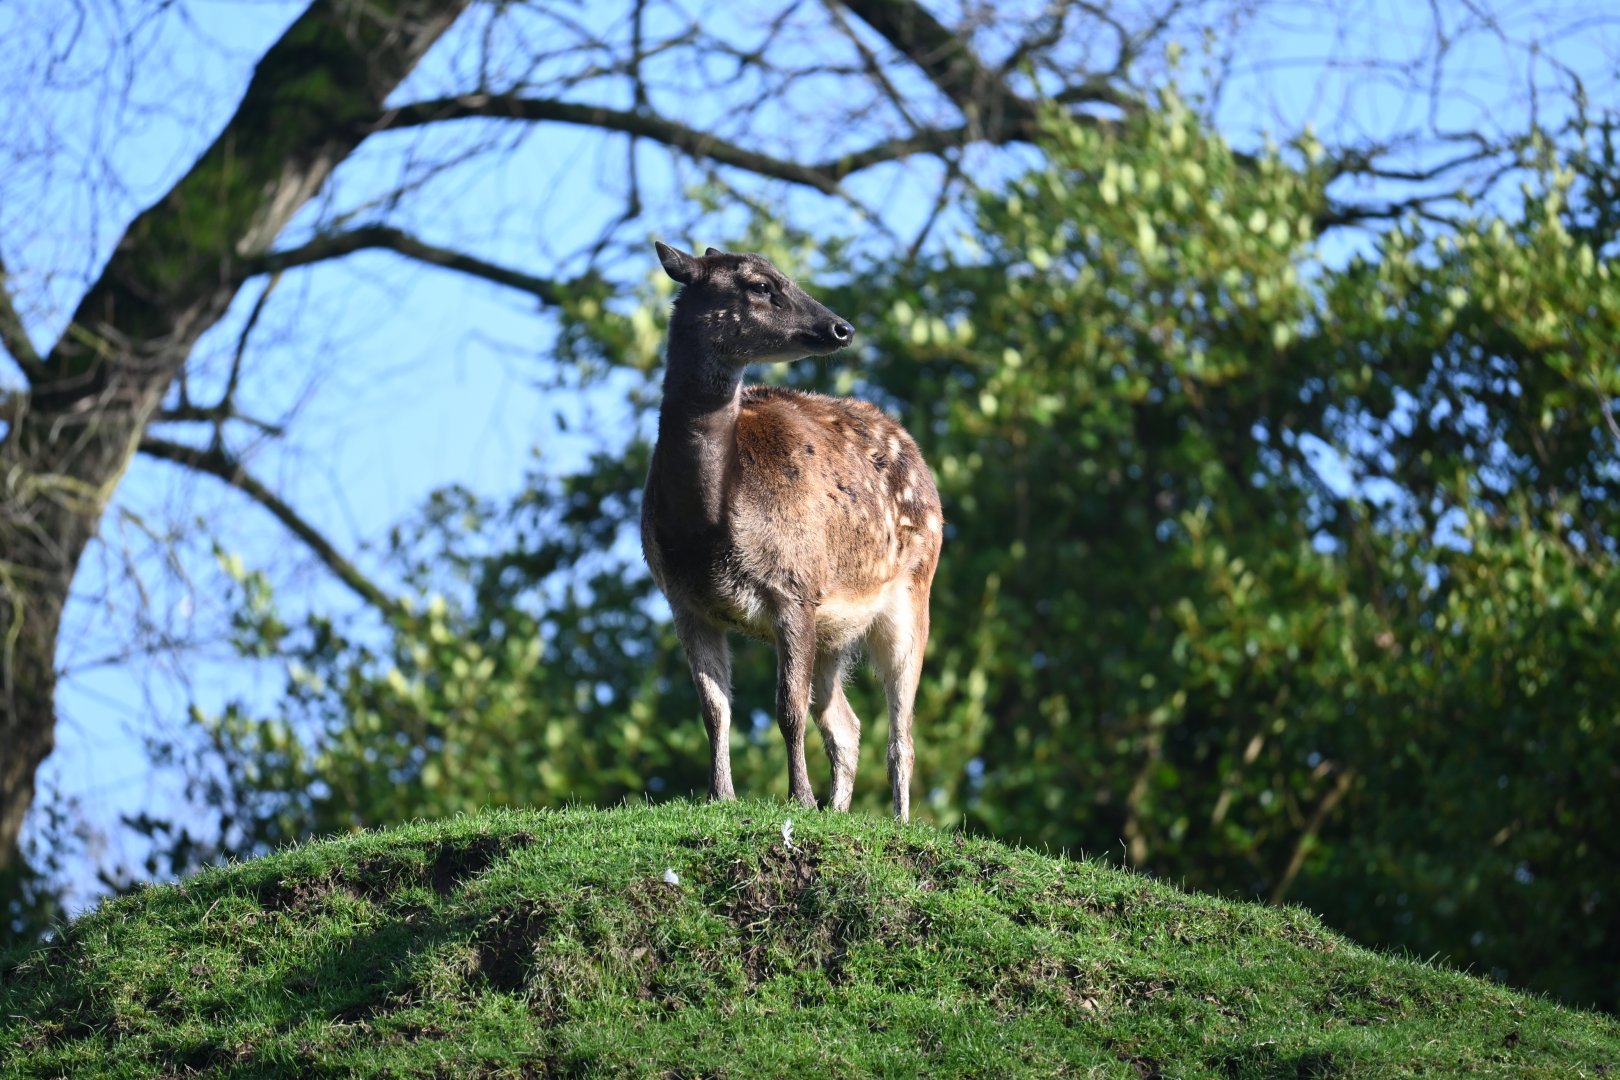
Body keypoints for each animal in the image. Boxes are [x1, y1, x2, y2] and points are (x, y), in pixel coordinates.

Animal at [641, 241, 943, 821]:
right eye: (760, 285)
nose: (841, 328)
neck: (705, 524)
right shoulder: (682, 601)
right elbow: (714, 708)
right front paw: (720, 795)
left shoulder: (794, 586)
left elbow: (787, 709)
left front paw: (798, 798)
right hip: (833, 633)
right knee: (847, 725)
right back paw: (839, 810)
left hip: (914, 589)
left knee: (902, 730)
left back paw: (898, 820)